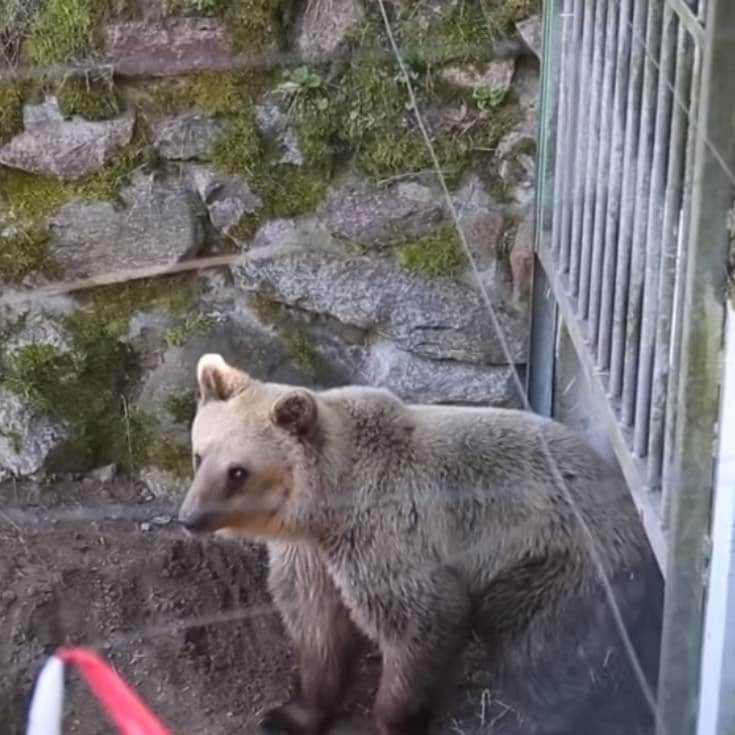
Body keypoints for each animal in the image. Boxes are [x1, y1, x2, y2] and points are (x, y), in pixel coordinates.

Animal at [177, 353, 663, 735]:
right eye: (199, 455)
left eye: (237, 471)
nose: (189, 519)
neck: (325, 512)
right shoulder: (311, 557)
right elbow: (316, 629)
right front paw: (290, 714)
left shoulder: (388, 536)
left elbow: (419, 624)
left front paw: (396, 718)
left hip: (563, 560)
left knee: (540, 649)